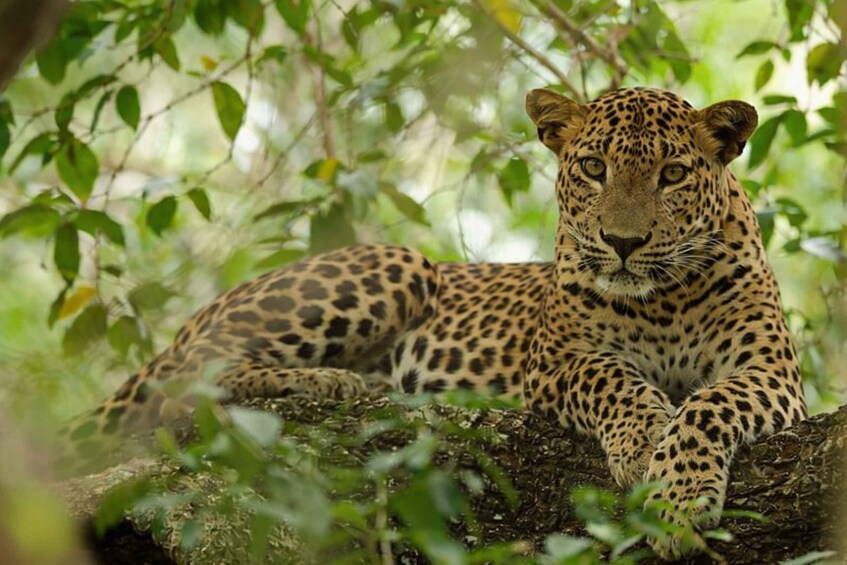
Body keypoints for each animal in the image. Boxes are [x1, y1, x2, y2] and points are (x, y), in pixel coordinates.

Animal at [58, 87, 807, 559]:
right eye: (594, 167)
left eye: (673, 174)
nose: (622, 242)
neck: (660, 299)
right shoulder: (557, 362)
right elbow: (614, 379)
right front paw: (644, 438)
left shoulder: (771, 371)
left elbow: (706, 404)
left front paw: (680, 499)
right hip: (398, 263)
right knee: (186, 384)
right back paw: (332, 382)